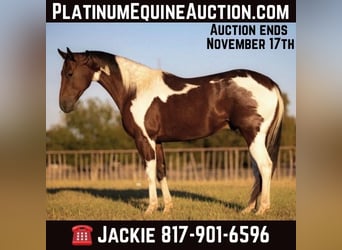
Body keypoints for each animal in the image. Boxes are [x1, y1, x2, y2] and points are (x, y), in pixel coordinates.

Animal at [57, 47, 284, 216]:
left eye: (69, 73)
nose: (64, 106)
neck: (135, 89)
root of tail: (271, 84)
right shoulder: (157, 141)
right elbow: (161, 171)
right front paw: (167, 207)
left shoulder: (144, 140)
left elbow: (149, 172)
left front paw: (150, 208)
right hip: (252, 138)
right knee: (257, 170)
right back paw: (248, 209)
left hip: (254, 136)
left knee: (265, 166)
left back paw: (262, 209)